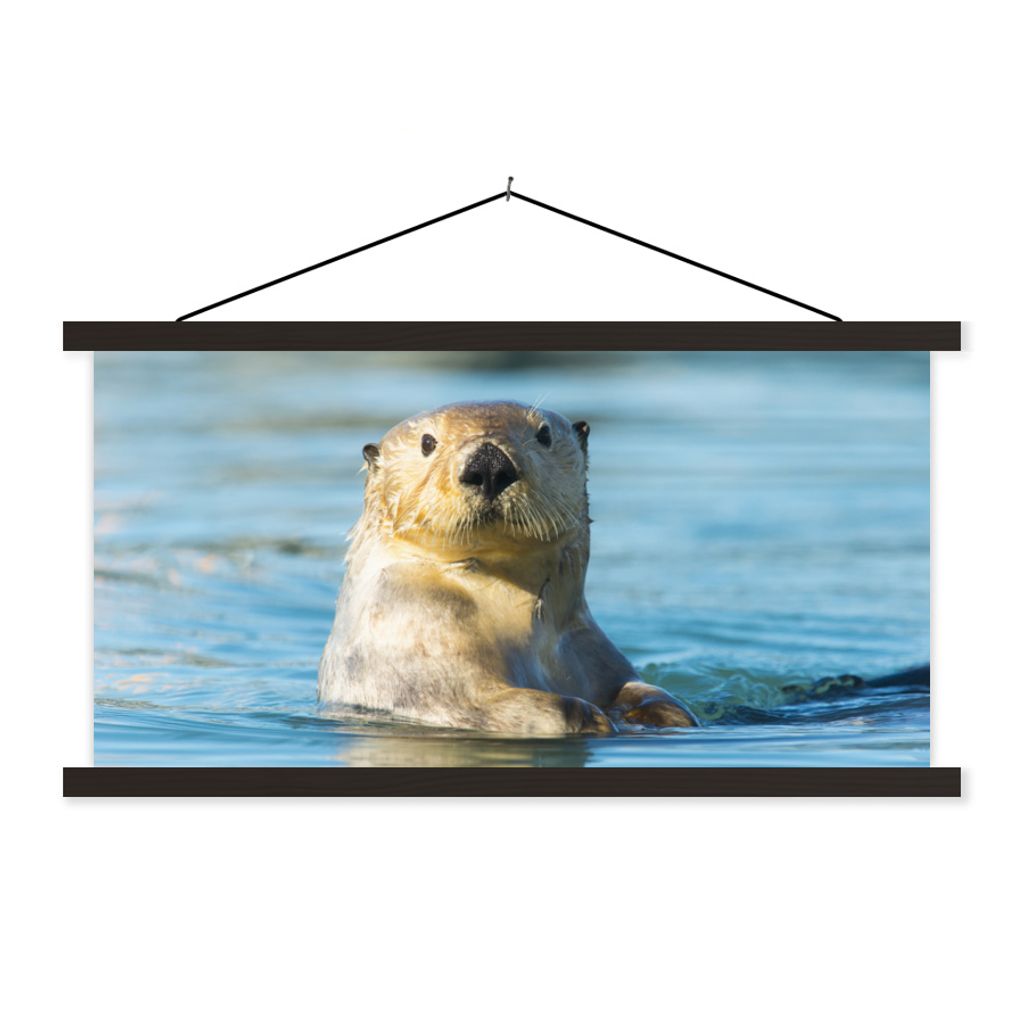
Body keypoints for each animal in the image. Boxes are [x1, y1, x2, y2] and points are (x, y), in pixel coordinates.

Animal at [317, 401, 695, 735]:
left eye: (544, 434)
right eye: (427, 442)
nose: (488, 464)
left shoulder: (588, 645)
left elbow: (634, 686)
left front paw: (663, 712)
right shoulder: (419, 635)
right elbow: (478, 700)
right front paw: (591, 717)